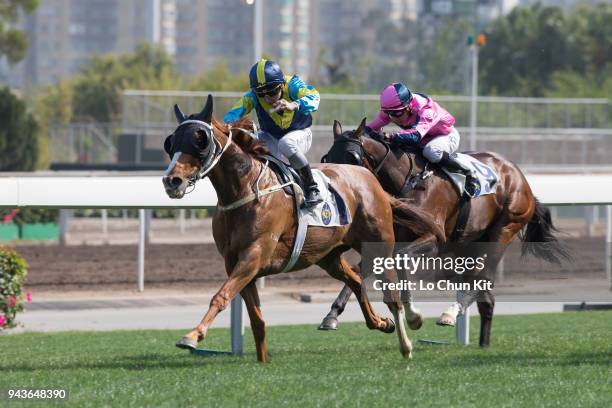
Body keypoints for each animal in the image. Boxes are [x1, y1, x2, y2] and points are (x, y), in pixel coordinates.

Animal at [160, 96, 424, 364]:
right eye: (172, 141)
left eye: (199, 139)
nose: (172, 181)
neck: (245, 190)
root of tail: (373, 182)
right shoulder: (234, 260)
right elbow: (257, 320)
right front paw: (262, 360)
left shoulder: (254, 255)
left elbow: (221, 296)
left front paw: (192, 336)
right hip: (327, 256)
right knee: (356, 279)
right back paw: (380, 322)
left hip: (378, 247)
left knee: (392, 297)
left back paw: (406, 343)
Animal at [320, 119, 568, 346]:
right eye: (327, 157)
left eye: (352, 158)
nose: (340, 188)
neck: (407, 182)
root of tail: (521, 179)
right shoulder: (385, 241)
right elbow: (358, 271)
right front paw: (332, 316)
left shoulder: (435, 238)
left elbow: (400, 259)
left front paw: (413, 315)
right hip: (468, 243)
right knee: (484, 295)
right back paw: (482, 343)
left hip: (504, 229)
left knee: (482, 278)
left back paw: (450, 313)